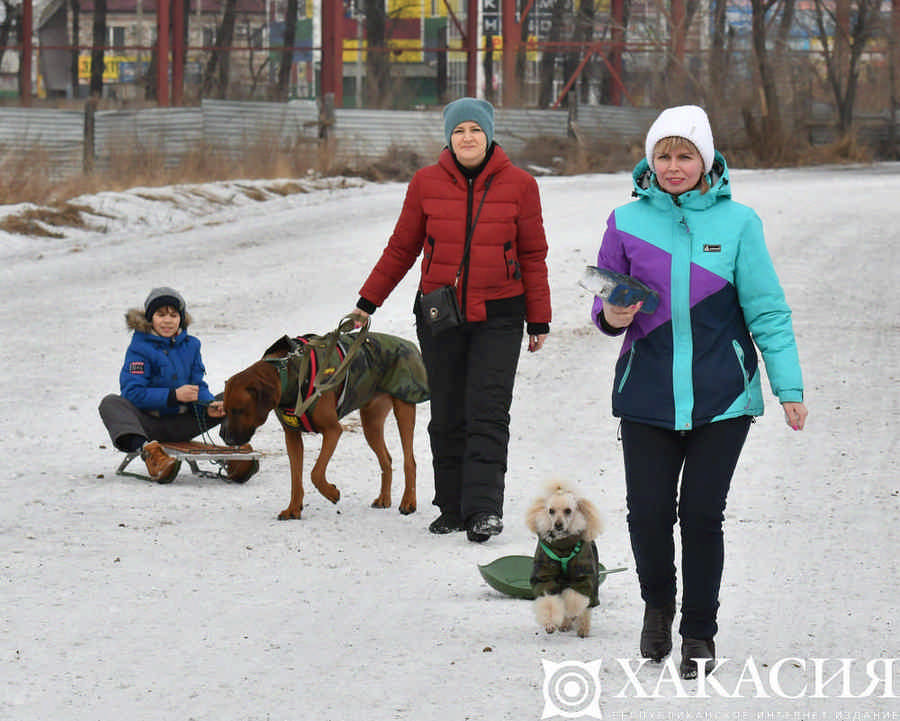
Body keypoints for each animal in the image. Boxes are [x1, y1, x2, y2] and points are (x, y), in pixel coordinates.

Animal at [219, 330, 428, 520]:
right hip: (371, 422)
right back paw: (384, 498)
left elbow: (315, 473)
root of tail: (410, 344)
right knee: (386, 460)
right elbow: (296, 478)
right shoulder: (292, 436)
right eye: (225, 410)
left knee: (410, 461)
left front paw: (332, 492)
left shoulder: (332, 430)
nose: (226, 438)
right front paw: (293, 509)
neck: (288, 372)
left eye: (238, 410)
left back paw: (408, 502)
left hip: (404, 408)